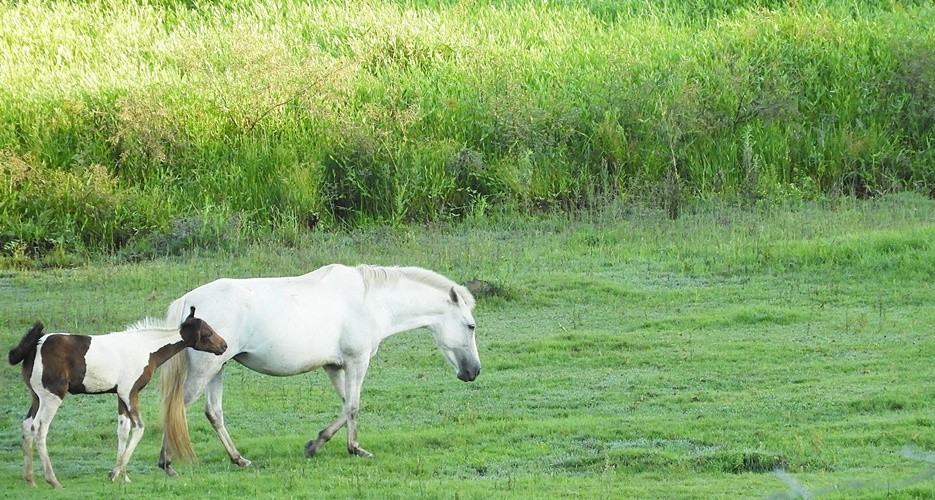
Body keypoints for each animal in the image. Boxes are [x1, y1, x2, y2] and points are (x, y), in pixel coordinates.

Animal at [7, 304, 227, 488]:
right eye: (207, 333)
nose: (224, 346)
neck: (145, 348)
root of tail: (35, 345)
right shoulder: (130, 392)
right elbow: (139, 428)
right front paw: (114, 474)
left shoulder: (121, 395)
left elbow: (123, 430)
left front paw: (123, 476)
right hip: (52, 396)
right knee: (39, 429)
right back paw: (52, 480)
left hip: (36, 397)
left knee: (26, 426)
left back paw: (30, 479)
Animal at [157, 264, 478, 474]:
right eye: (471, 326)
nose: (473, 371)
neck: (371, 301)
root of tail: (188, 302)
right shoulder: (357, 361)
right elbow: (354, 406)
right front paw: (355, 449)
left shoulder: (335, 366)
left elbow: (346, 405)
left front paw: (316, 444)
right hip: (206, 370)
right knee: (176, 408)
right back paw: (166, 462)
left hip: (218, 368)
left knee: (214, 413)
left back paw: (238, 459)